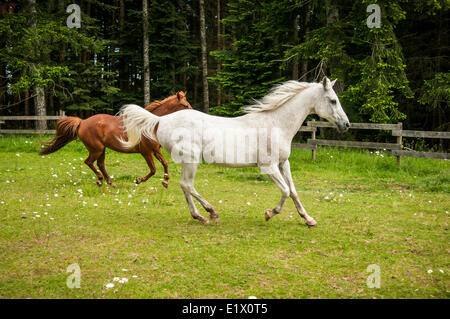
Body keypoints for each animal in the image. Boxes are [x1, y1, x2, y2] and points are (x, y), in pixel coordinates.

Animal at [39, 92, 192, 188]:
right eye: (185, 105)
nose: (193, 114)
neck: (150, 125)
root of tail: (82, 122)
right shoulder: (146, 152)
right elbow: (153, 170)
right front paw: (138, 180)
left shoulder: (155, 150)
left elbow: (165, 164)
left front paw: (165, 182)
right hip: (97, 149)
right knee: (89, 162)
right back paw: (100, 180)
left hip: (102, 149)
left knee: (100, 164)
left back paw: (110, 182)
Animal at [118, 77, 348, 228]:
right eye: (333, 100)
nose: (346, 124)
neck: (276, 124)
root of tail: (161, 119)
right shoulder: (268, 167)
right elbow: (284, 191)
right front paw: (269, 214)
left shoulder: (284, 163)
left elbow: (293, 191)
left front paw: (308, 219)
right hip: (191, 159)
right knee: (187, 185)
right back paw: (211, 213)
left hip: (187, 161)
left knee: (185, 187)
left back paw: (200, 216)